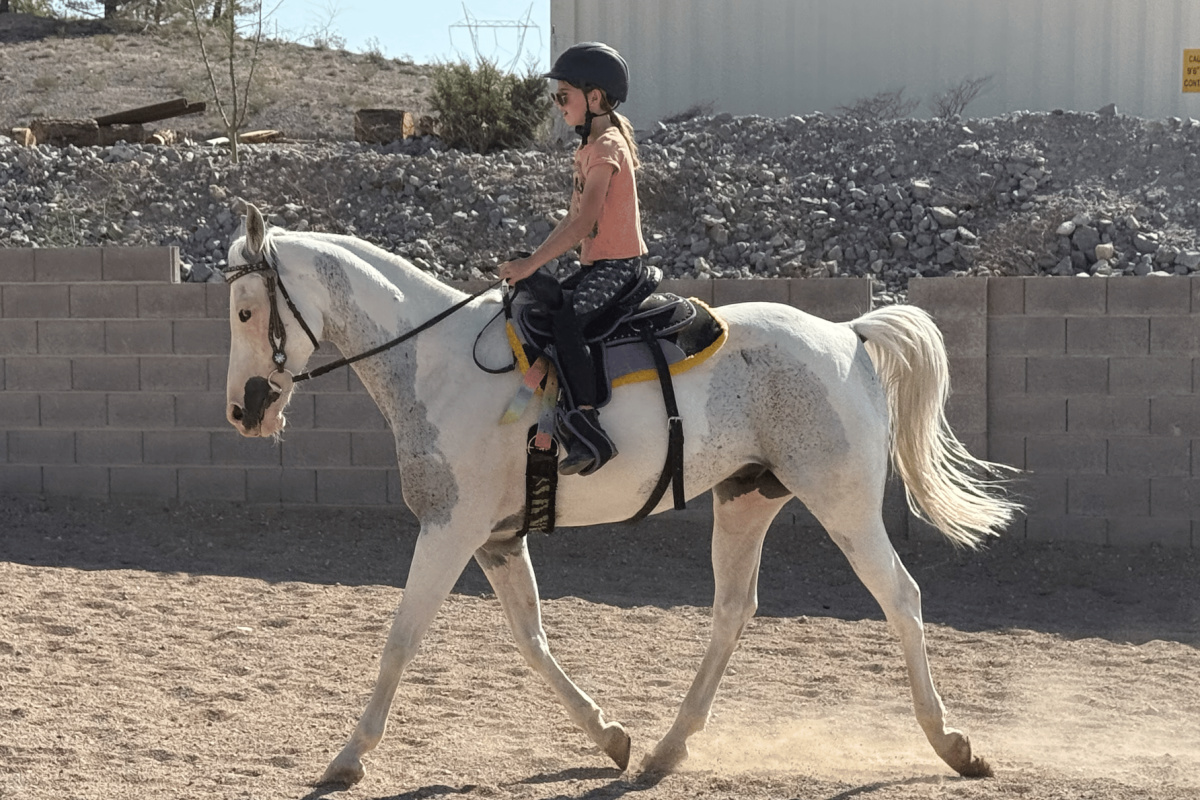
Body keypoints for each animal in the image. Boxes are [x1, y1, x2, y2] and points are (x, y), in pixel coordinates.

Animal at [222, 203, 1019, 787]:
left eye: (244, 312)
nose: (243, 410)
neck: (437, 363)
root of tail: (848, 334)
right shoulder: (496, 538)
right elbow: (532, 640)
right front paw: (610, 737)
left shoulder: (450, 528)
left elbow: (401, 639)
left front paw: (347, 758)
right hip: (746, 501)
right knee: (733, 612)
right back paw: (667, 750)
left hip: (843, 505)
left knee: (901, 598)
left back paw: (953, 745)